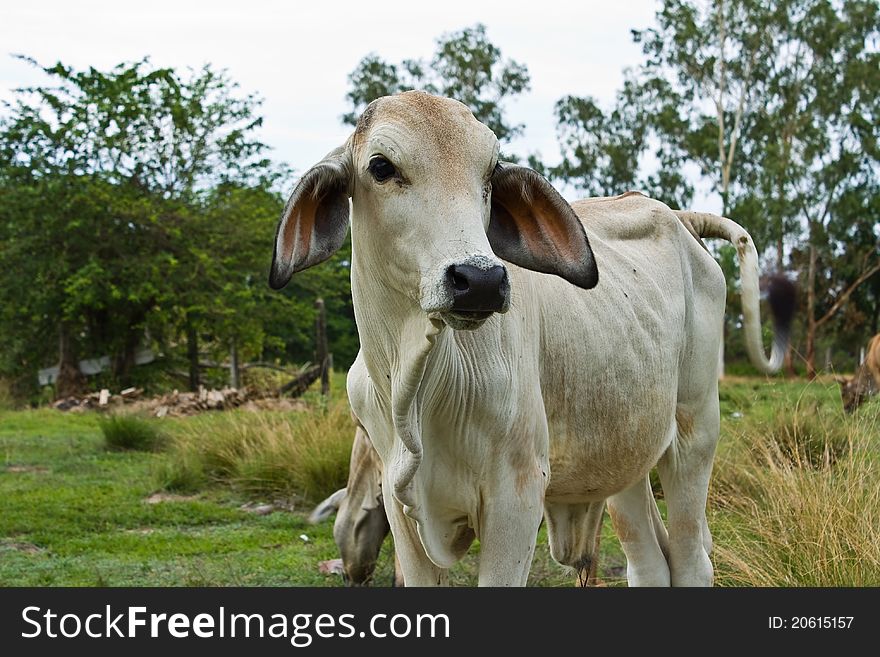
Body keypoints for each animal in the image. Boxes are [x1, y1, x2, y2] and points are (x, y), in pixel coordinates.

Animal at [270, 91, 792, 584]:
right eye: (381, 166)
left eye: (489, 171)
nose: (480, 280)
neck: (416, 385)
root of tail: (680, 219)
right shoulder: (403, 509)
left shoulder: (516, 495)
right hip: (624, 450)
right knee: (649, 563)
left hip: (694, 429)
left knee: (690, 560)